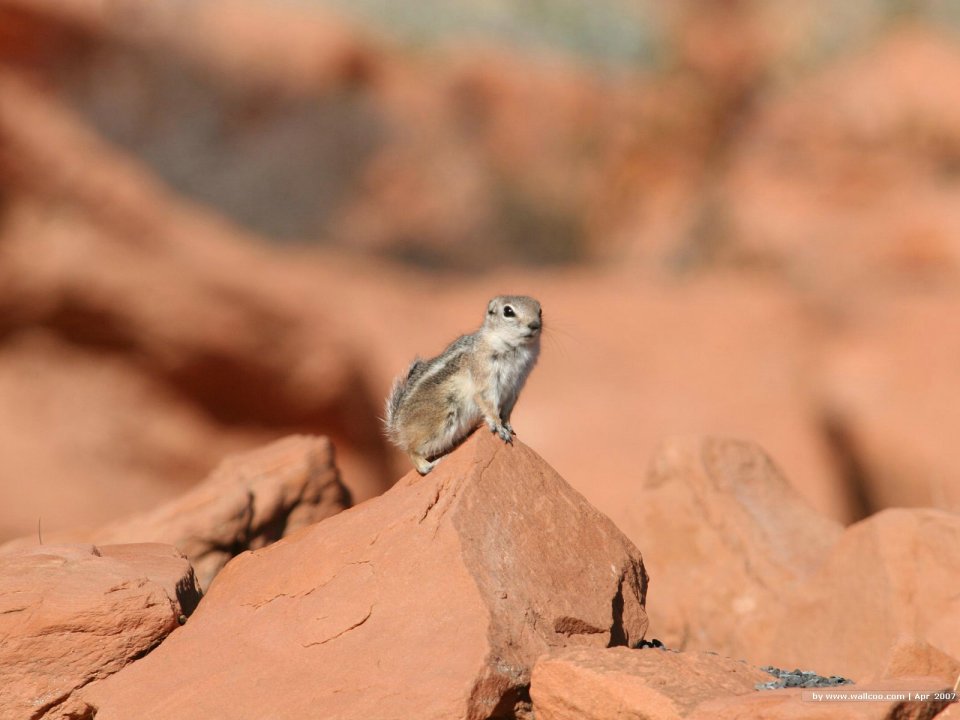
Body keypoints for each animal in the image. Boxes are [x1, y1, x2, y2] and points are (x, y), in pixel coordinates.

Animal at [384, 295, 543, 475]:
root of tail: (397, 426)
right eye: (508, 311)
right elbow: (489, 405)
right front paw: (499, 427)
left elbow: (507, 410)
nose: (534, 325)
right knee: (412, 452)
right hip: (440, 421)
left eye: (540, 310)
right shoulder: (485, 378)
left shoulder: (515, 387)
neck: (517, 349)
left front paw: (508, 426)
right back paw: (431, 464)